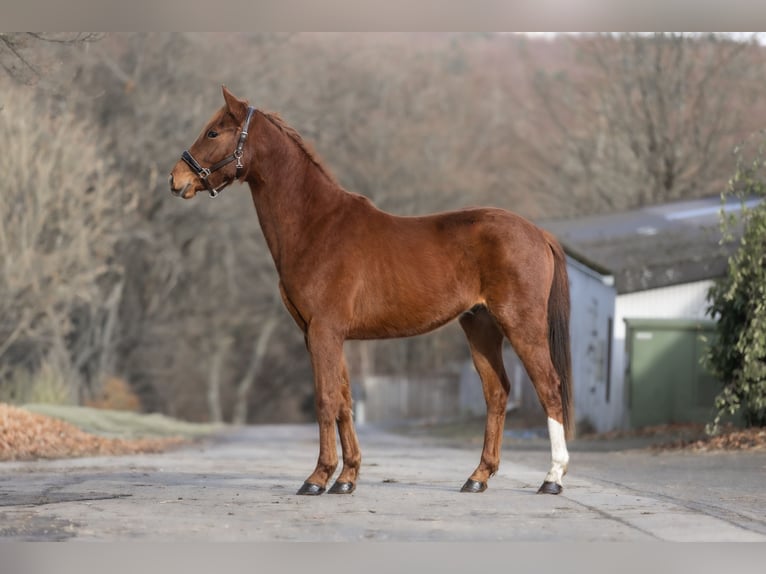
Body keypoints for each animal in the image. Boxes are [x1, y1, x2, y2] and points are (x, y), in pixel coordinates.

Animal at [169, 86, 574, 496]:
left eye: (213, 132)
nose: (176, 178)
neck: (316, 225)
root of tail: (537, 232)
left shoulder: (324, 331)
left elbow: (325, 399)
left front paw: (317, 478)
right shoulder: (324, 334)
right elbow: (344, 401)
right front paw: (346, 478)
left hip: (521, 325)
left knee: (549, 387)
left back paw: (552, 478)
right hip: (480, 326)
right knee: (497, 393)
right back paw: (478, 477)